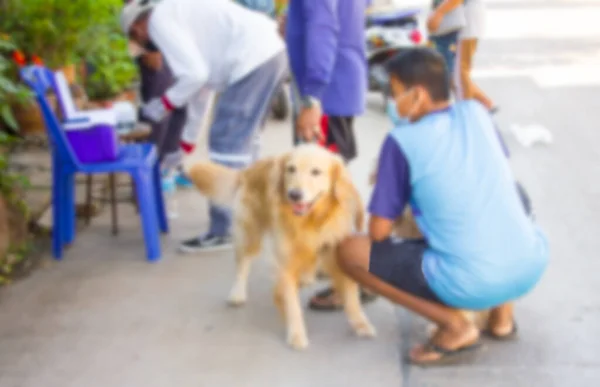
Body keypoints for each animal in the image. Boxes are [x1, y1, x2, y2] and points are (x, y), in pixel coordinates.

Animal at [188, 146, 376, 352]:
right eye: (291, 169)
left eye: (316, 172)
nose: (294, 194)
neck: (309, 223)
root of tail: (250, 168)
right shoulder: (286, 264)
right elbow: (292, 304)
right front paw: (296, 334)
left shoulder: (336, 256)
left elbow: (352, 299)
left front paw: (361, 324)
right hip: (250, 232)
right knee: (243, 263)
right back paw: (237, 293)